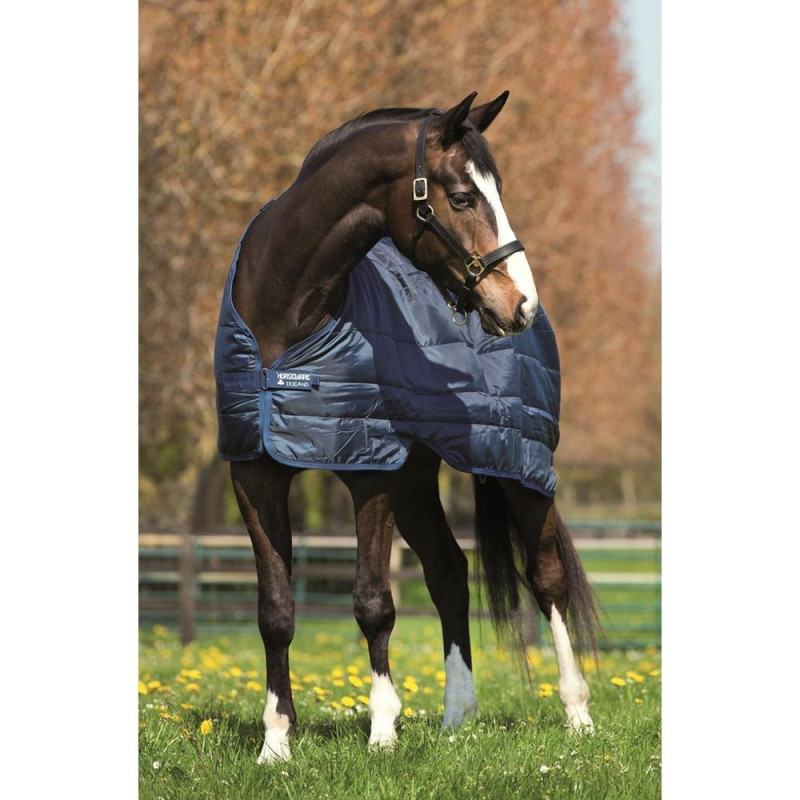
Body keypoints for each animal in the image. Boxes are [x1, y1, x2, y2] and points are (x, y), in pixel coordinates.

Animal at [216, 92, 600, 764]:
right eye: (464, 197)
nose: (520, 304)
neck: (286, 320)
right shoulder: (255, 471)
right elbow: (275, 610)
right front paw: (276, 743)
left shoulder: (371, 471)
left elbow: (373, 602)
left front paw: (382, 734)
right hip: (418, 483)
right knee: (449, 574)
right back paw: (456, 717)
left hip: (519, 464)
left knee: (547, 577)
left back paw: (577, 715)